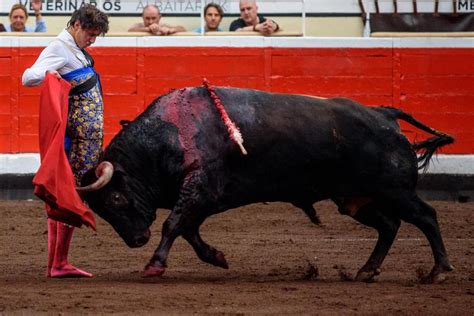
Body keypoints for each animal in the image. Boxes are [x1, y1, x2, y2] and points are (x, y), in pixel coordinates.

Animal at [79, 85, 454, 282]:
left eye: (114, 200)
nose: (137, 240)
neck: (170, 133)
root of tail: (385, 114)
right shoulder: (202, 197)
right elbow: (188, 230)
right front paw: (217, 257)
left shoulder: (200, 189)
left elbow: (173, 224)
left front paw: (154, 265)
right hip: (355, 199)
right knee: (389, 225)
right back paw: (366, 270)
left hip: (396, 191)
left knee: (426, 216)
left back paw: (439, 271)